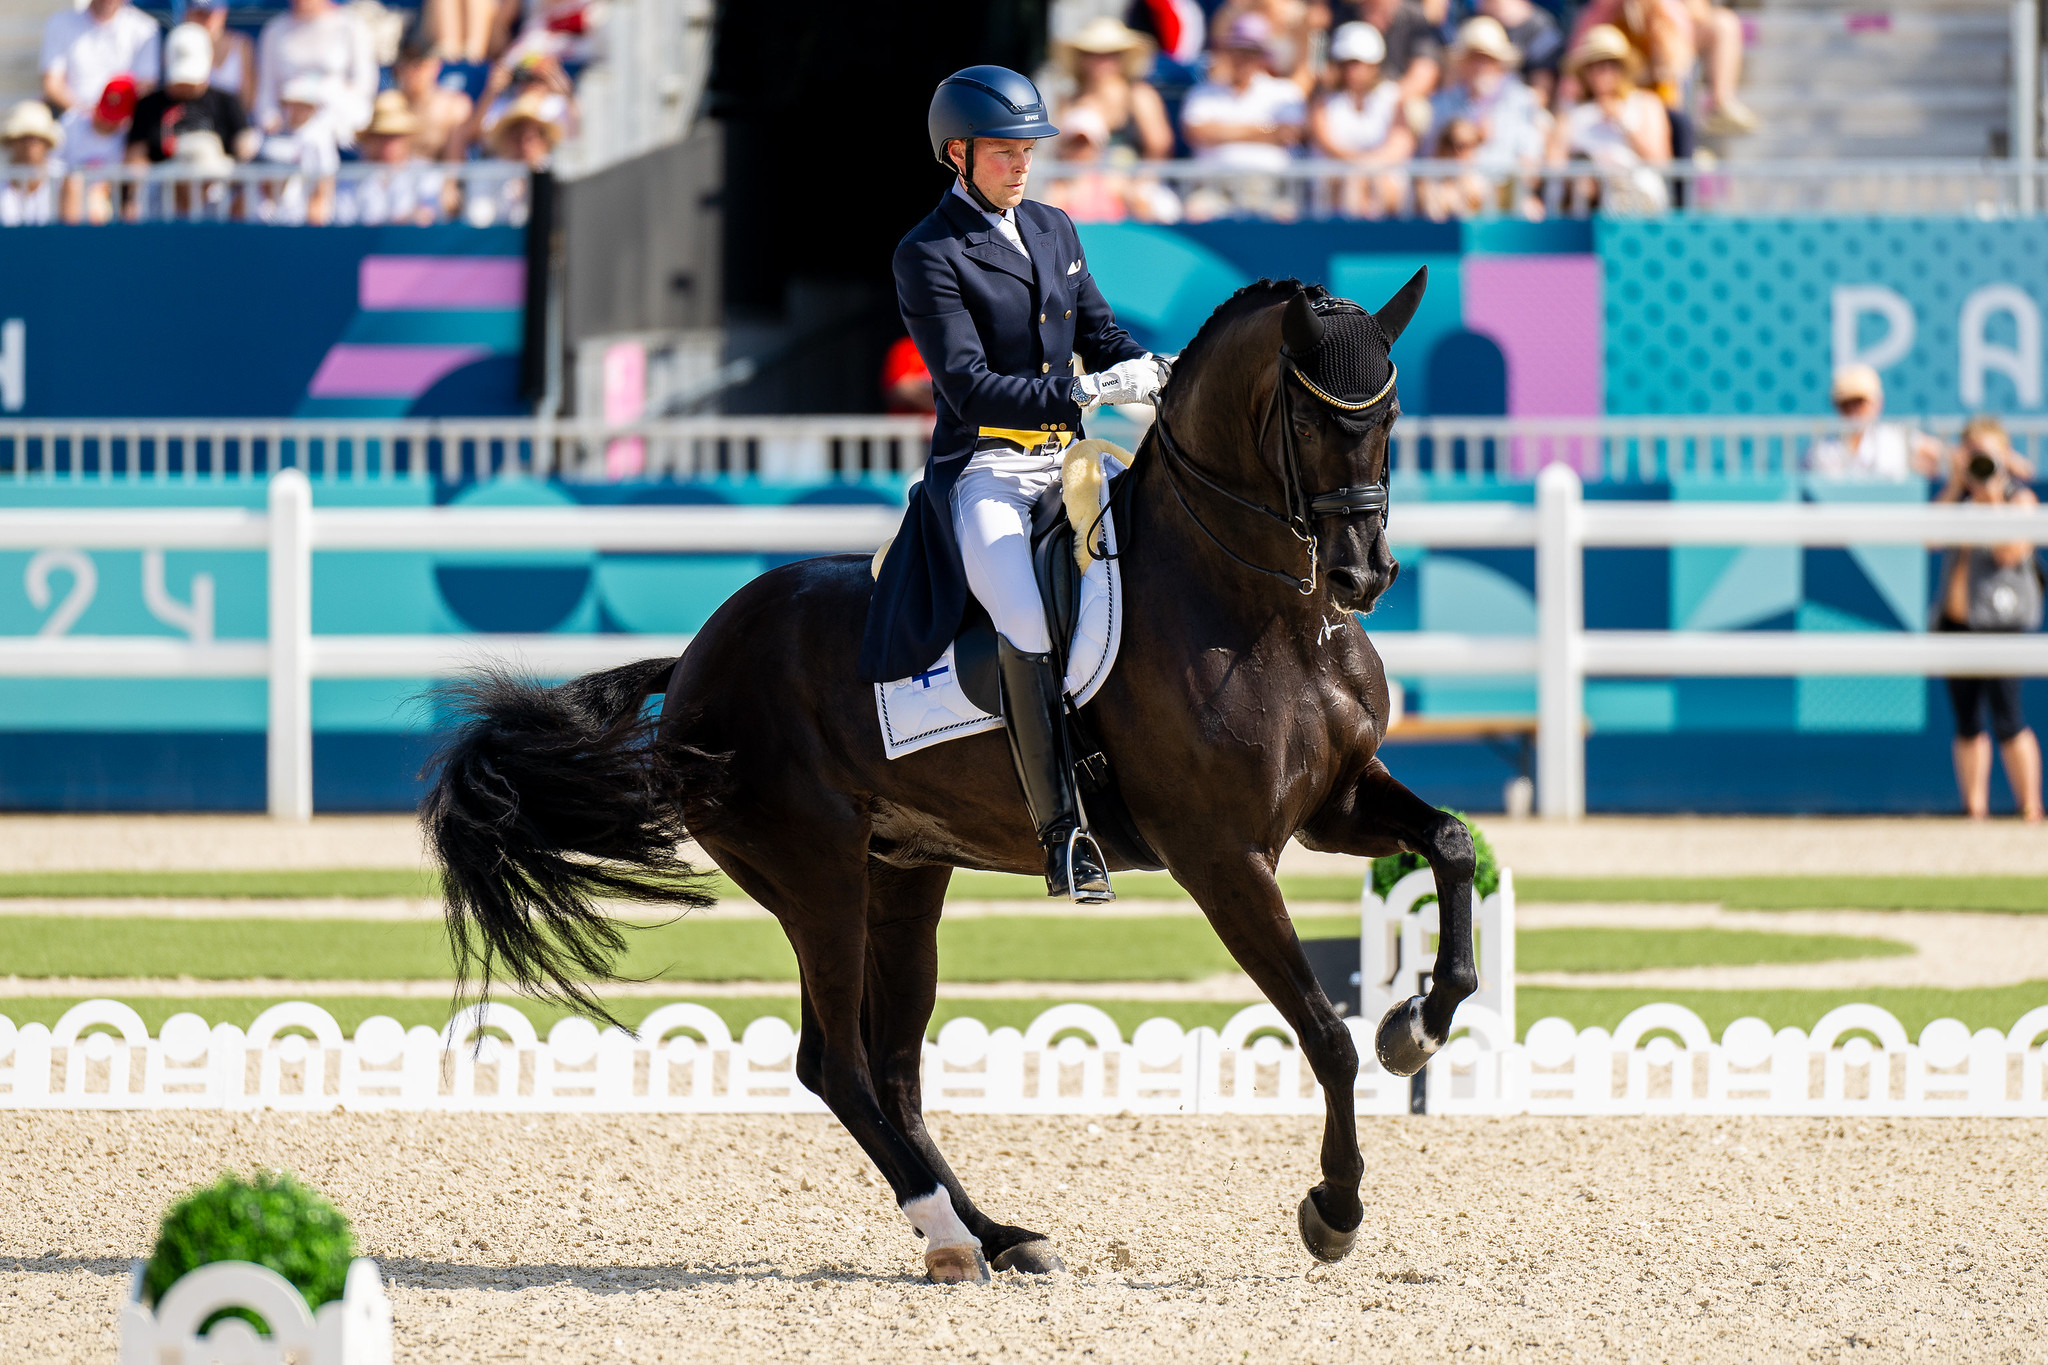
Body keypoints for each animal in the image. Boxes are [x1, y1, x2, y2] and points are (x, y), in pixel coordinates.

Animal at [422, 272, 1478, 1284]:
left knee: (894, 1072)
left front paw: (1418, 1026)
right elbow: (1324, 1031)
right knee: (838, 1066)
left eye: (1387, 416)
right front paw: (1334, 1210)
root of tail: (692, 666)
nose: (1364, 574)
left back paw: (998, 1235)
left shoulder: (1335, 800)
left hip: (902, 877)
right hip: (817, 879)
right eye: (1306, 420)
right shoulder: (1222, 857)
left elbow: (1452, 844)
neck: (1268, 612)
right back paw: (950, 1232)